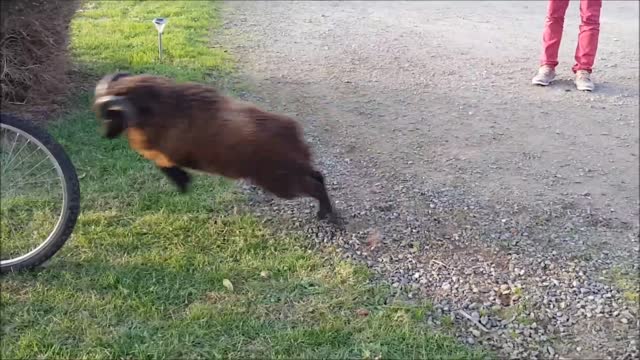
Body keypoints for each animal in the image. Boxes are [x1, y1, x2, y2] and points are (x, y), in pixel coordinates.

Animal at [92, 72, 340, 224]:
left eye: (109, 114)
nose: (105, 136)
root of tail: (292, 131)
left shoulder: (166, 151)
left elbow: (161, 162)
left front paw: (182, 182)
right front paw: (182, 182)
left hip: (282, 182)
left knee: (315, 186)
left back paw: (325, 214)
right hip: (295, 168)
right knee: (319, 176)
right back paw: (327, 212)